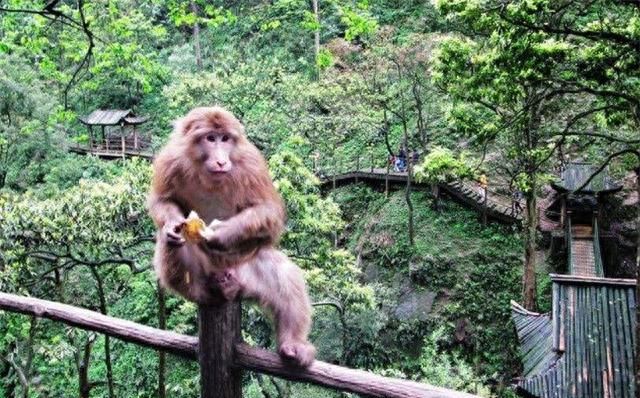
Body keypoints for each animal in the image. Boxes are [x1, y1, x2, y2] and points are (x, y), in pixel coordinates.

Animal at [146, 106, 316, 366]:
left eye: (225, 138)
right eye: (210, 138)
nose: (221, 159)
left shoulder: (251, 164)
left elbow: (268, 211)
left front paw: (221, 234)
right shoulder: (170, 160)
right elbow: (162, 201)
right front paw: (173, 225)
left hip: (246, 269)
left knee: (283, 273)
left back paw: (293, 344)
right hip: (204, 271)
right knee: (174, 246)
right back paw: (207, 290)